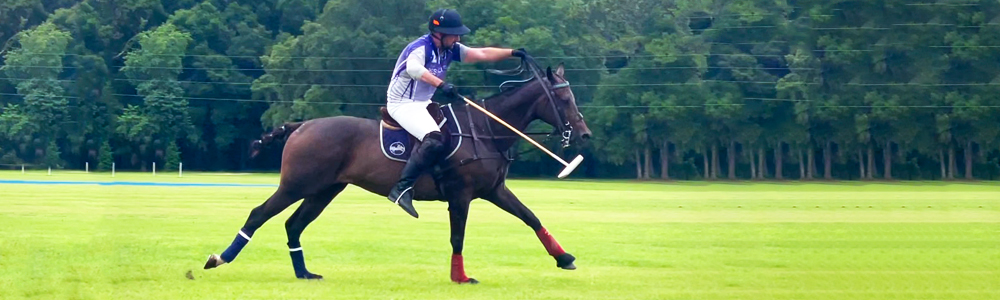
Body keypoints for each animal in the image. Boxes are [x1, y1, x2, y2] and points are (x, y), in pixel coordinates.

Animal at [204, 56, 592, 284]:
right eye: (563, 99)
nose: (584, 134)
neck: (485, 129)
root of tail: (301, 125)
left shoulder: (494, 190)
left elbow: (531, 217)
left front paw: (566, 258)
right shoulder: (461, 194)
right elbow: (458, 236)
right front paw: (460, 277)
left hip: (325, 190)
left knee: (293, 224)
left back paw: (305, 274)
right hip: (296, 184)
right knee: (259, 214)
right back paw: (219, 258)